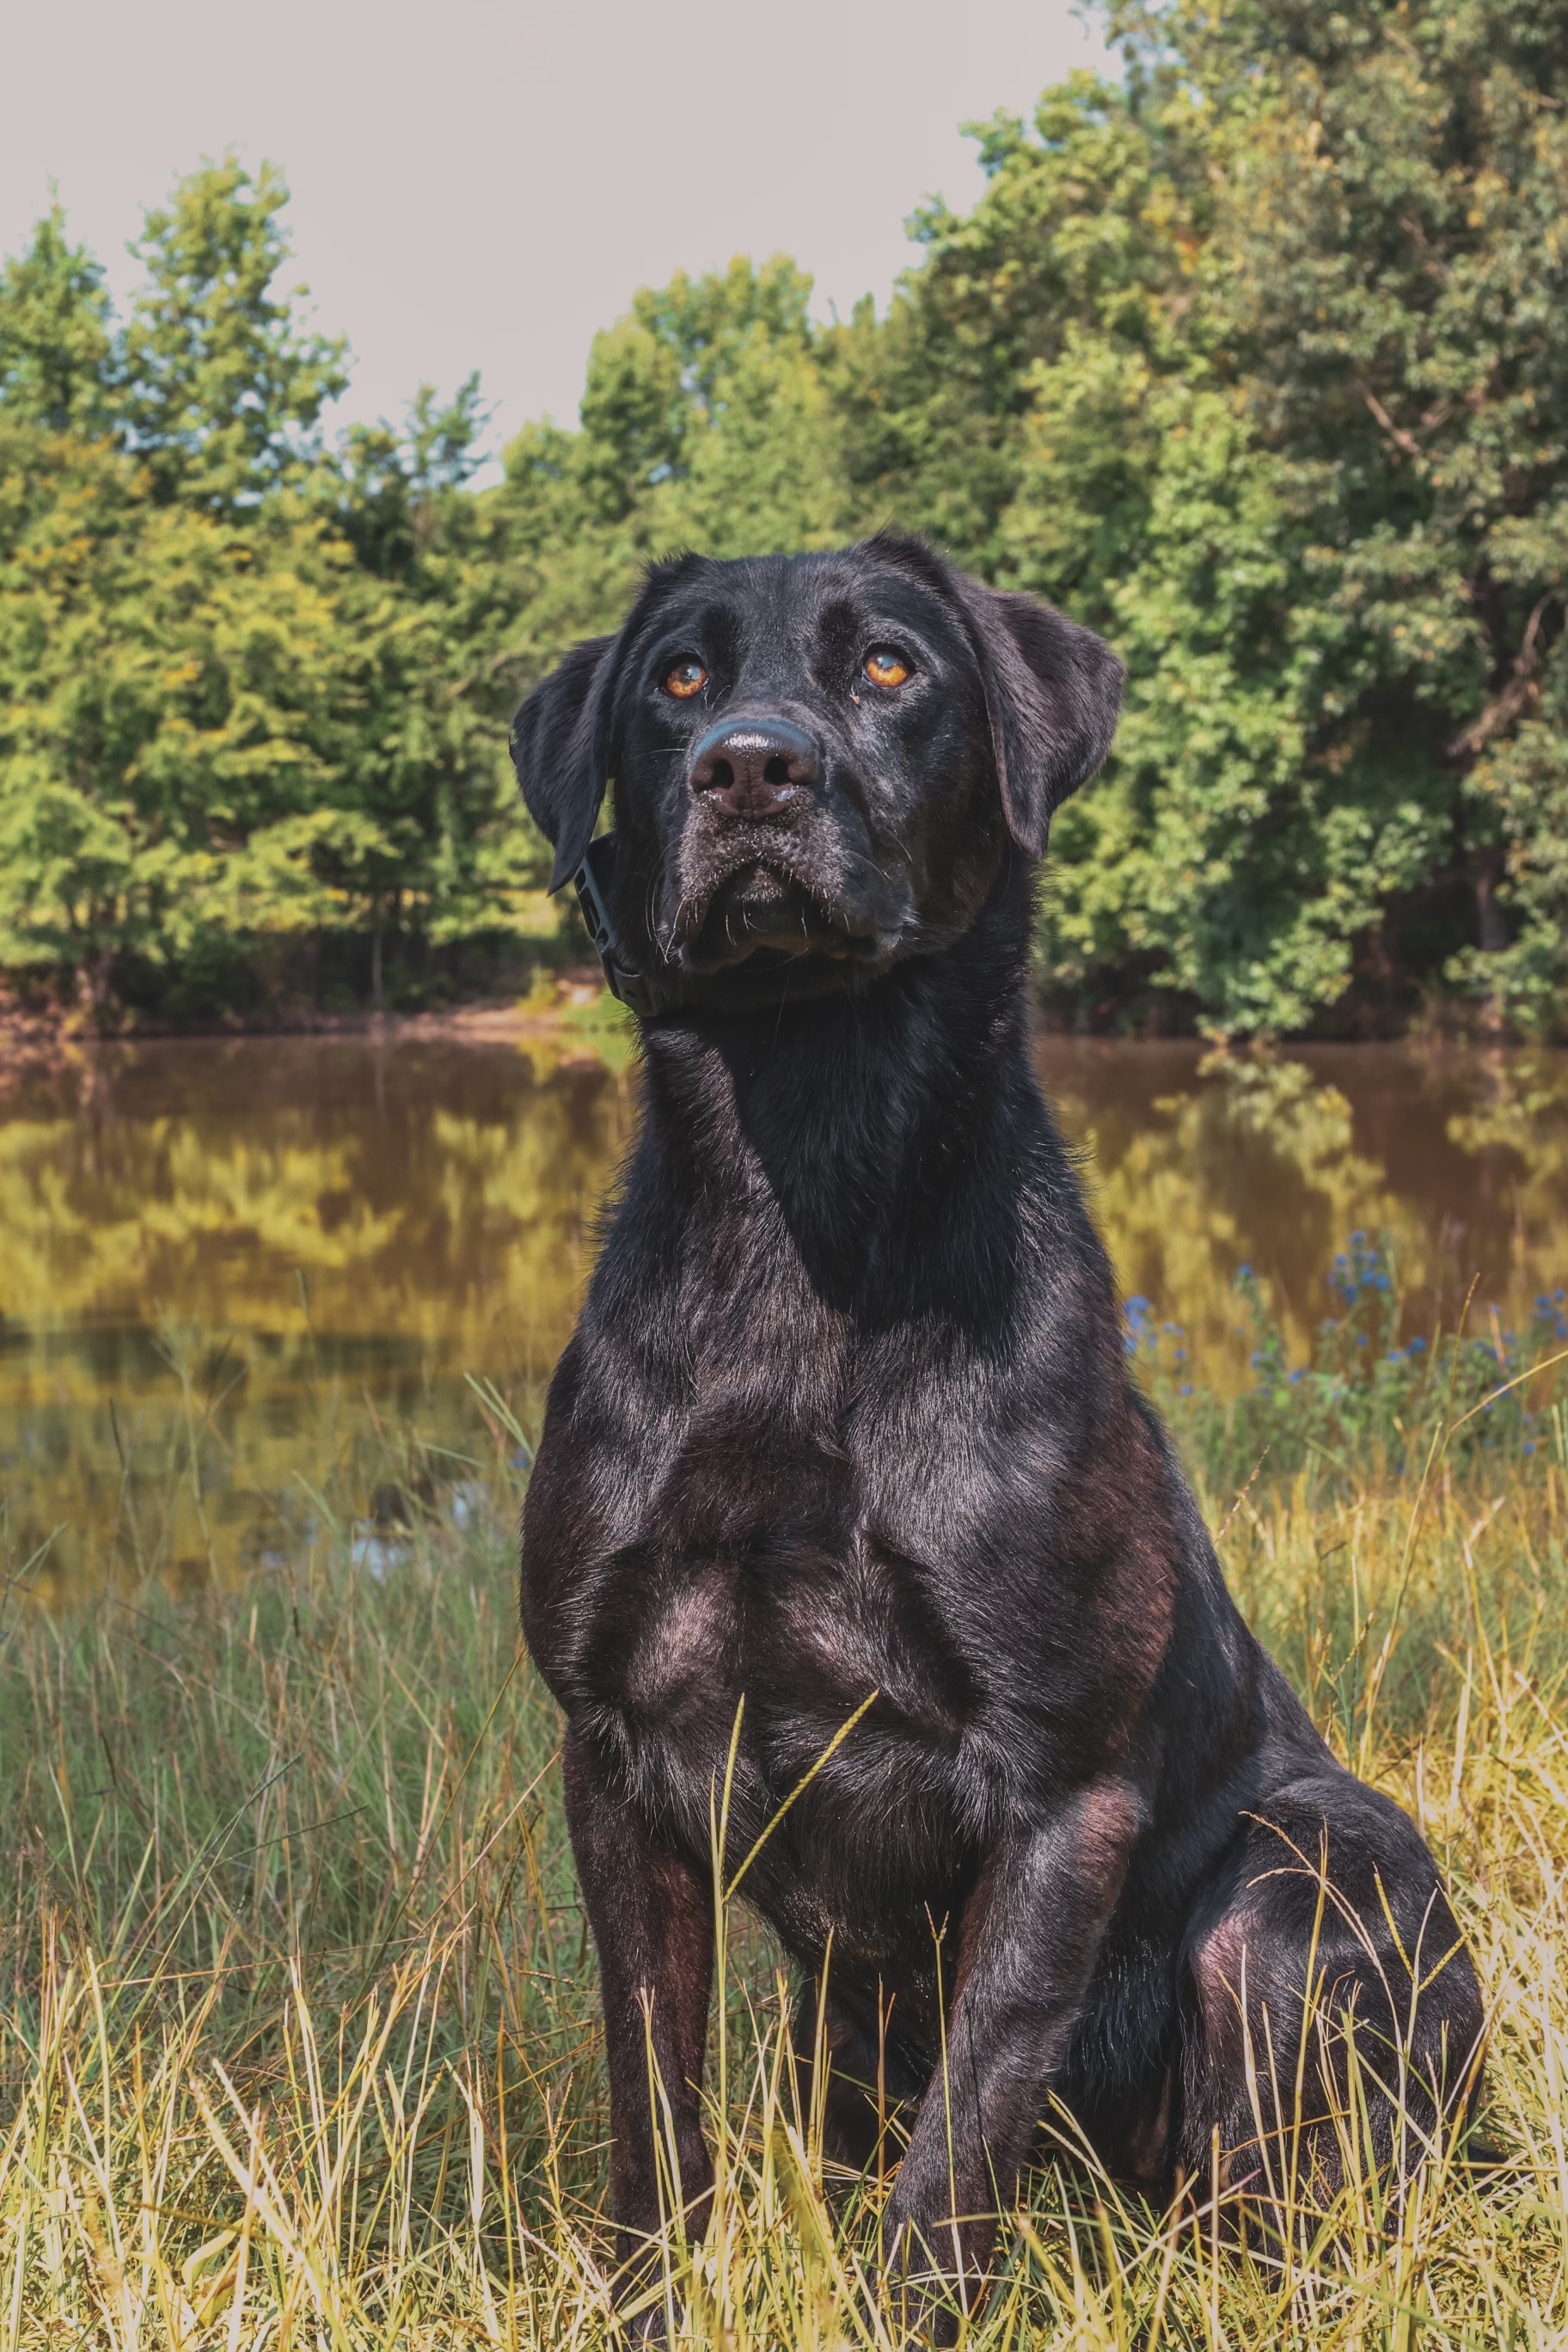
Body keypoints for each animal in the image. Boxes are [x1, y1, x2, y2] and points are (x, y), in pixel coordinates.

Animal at [512, 529, 1485, 2314]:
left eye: (889, 665)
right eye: (675, 680)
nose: (748, 766)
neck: (804, 1186)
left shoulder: (1053, 1790)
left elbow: (965, 2129)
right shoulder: (611, 1750)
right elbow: (650, 2094)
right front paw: (647, 2302)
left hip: (1305, 1886)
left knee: (1272, 2190)